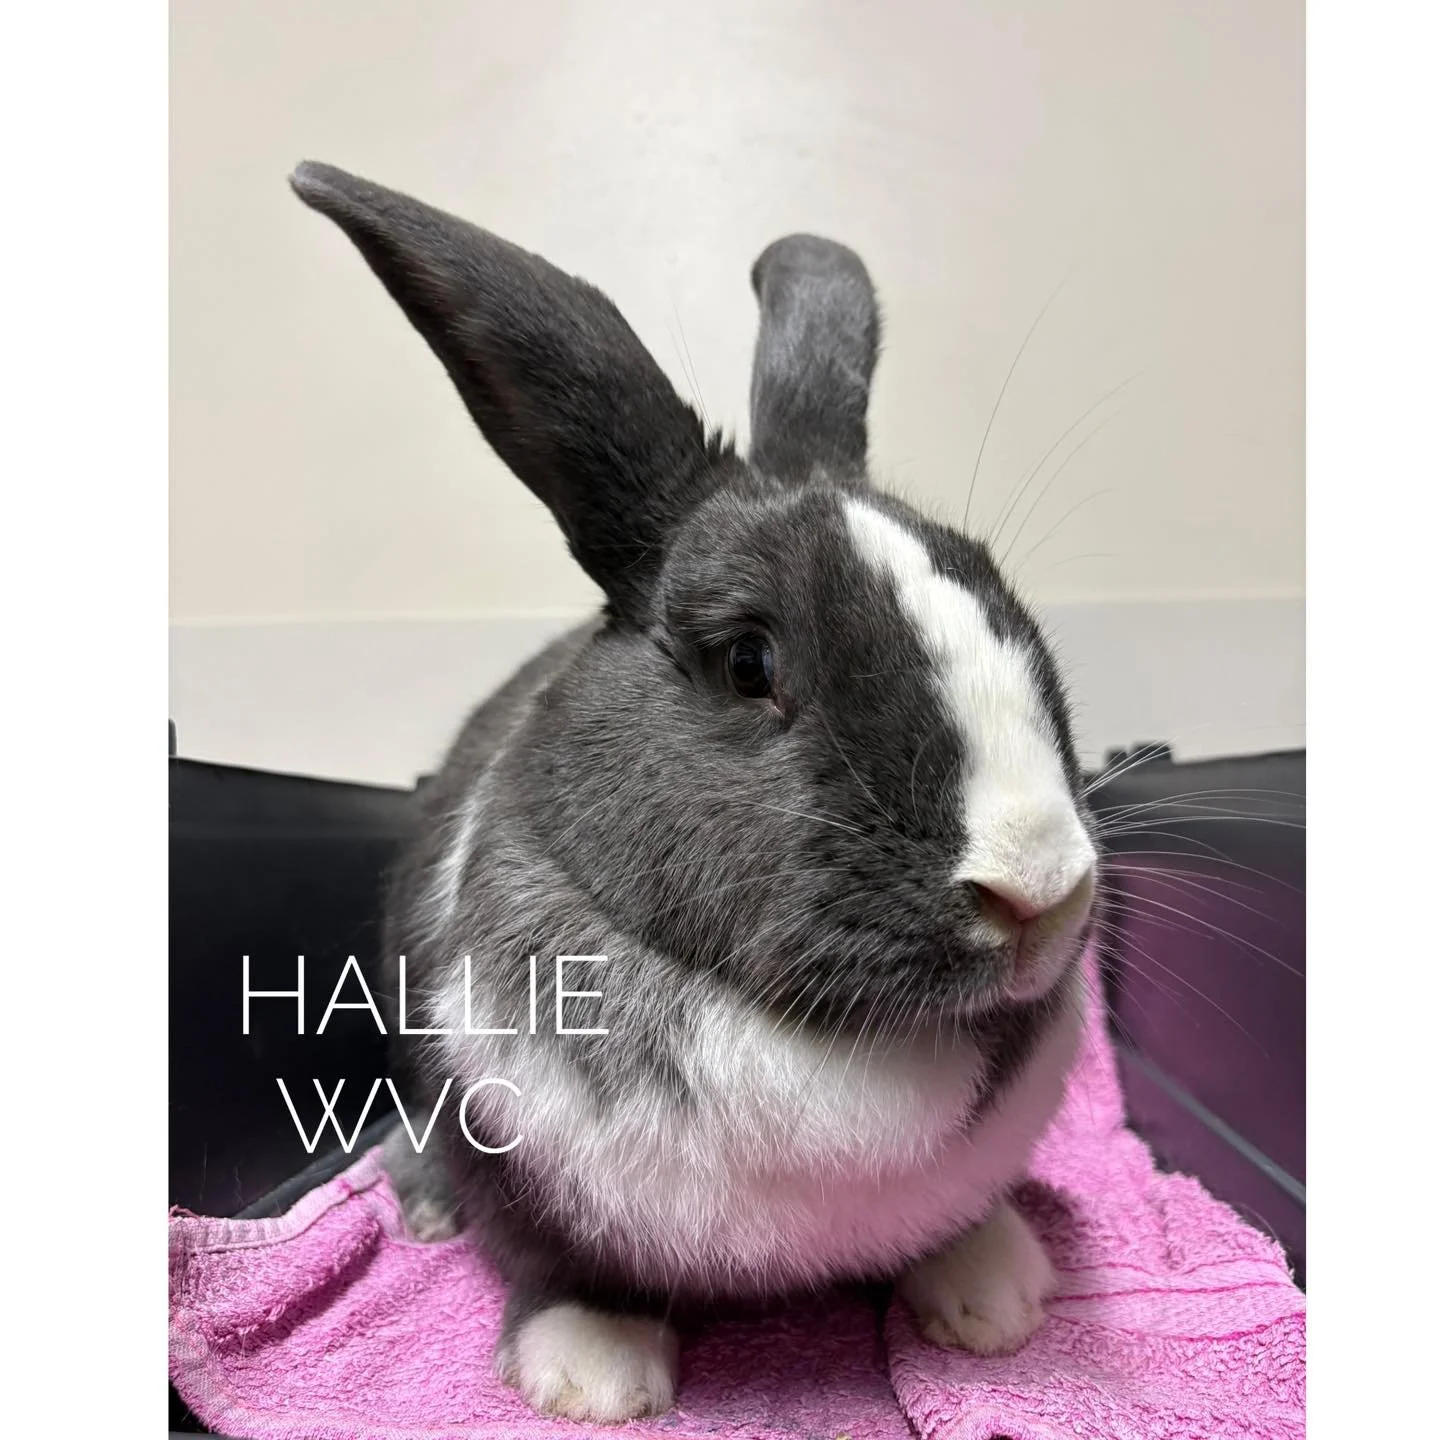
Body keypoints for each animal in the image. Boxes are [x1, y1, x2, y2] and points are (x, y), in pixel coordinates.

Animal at [290, 161, 1099, 1424]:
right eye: (748, 663)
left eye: (1001, 598)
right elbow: (558, 1261)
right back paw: (423, 1209)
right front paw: (593, 1377)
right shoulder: (516, 1151)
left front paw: (995, 1297)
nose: (1041, 890)